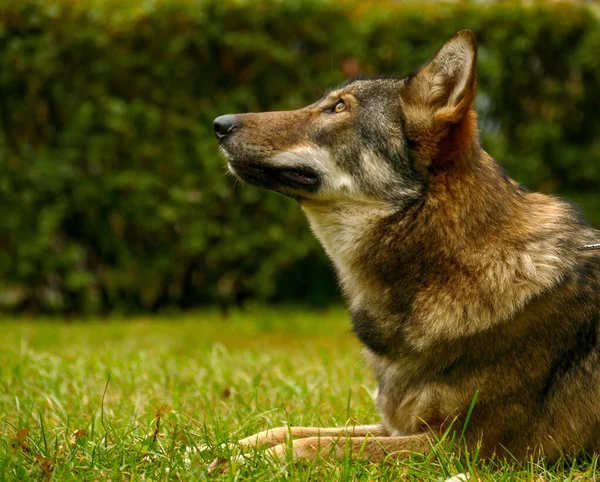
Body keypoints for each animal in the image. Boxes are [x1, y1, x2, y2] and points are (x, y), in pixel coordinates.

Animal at [210, 29, 600, 464]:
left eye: (338, 108)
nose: (219, 124)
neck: (448, 264)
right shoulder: (399, 425)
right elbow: (286, 429)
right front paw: (212, 448)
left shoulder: (462, 447)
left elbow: (313, 444)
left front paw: (247, 461)